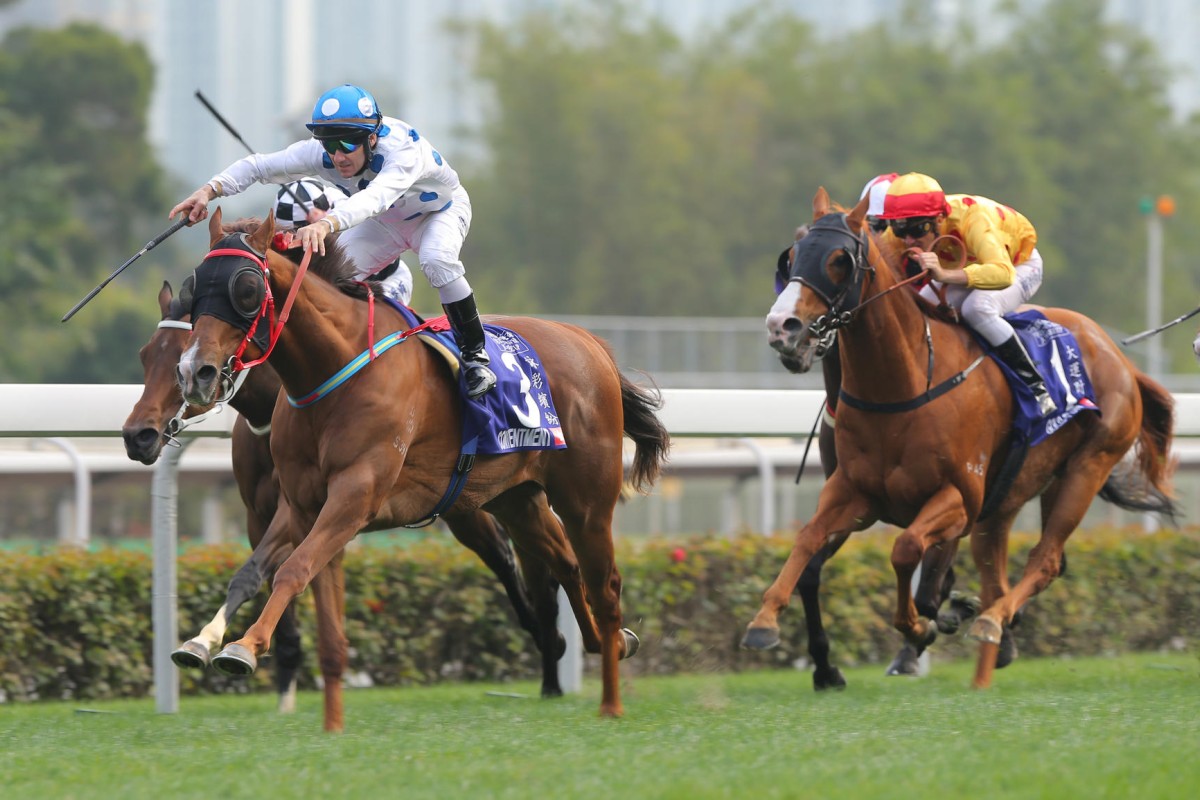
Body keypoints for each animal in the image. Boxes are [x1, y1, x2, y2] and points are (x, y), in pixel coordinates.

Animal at [123, 227, 571, 710]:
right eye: (146, 355)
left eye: (177, 355)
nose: (137, 435)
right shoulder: (264, 513)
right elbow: (255, 575)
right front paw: (222, 649)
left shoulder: (333, 500)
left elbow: (293, 571)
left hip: (467, 503)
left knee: (509, 559)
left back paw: (552, 650)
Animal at [174, 209, 672, 729]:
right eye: (196, 287)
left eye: (247, 288)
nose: (194, 372)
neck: (332, 371)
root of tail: (591, 343)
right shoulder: (301, 505)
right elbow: (266, 577)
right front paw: (207, 642)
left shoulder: (355, 496)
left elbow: (293, 570)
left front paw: (246, 647)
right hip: (516, 501)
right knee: (569, 565)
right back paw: (608, 642)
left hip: (586, 501)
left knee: (605, 585)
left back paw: (611, 699)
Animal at [744, 189, 1176, 690]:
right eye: (790, 257)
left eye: (839, 260)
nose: (783, 327)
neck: (904, 383)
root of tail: (1119, 357)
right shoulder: (855, 493)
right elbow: (807, 544)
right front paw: (769, 626)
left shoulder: (959, 497)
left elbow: (907, 553)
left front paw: (922, 626)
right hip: (1009, 499)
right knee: (1003, 575)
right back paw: (989, 645)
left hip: (1086, 469)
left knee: (1046, 560)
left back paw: (990, 621)